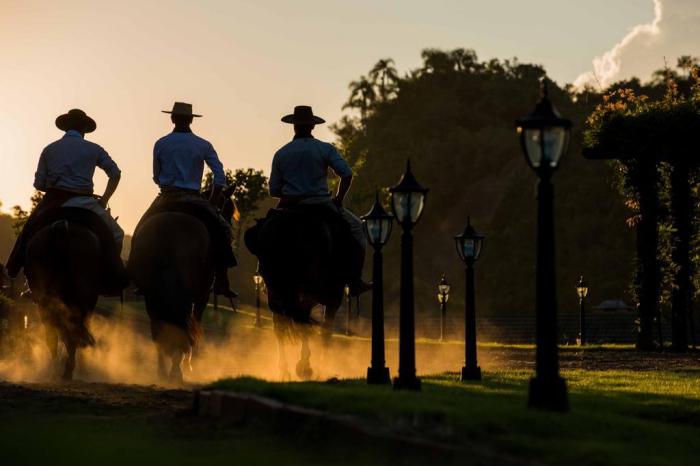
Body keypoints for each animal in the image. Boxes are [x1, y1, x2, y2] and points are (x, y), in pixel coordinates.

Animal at [24, 220, 102, 380]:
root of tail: (61, 227)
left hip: (46, 303)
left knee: (58, 334)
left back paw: (58, 370)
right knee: (70, 333)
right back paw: (67, 369)